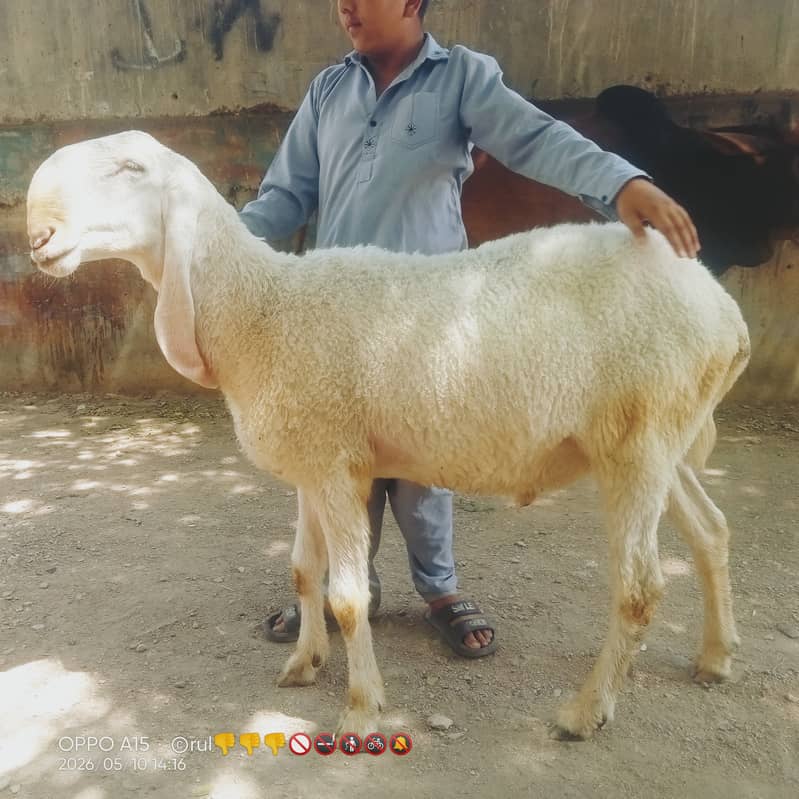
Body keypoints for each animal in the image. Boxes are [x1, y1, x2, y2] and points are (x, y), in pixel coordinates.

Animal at [27, 130, 751, 740]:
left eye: (131, 168)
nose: (38, 232)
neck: (261, 311)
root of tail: (724, 311)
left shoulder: (334, 464)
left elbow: (347, 598)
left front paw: (360, 708)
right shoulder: (312, 459)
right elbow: (302, 569)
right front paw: (303, 661)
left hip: (638, 442)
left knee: (639, 589)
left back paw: (585, 710)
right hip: (662, 444)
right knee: (712, 531)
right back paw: (715, 656)